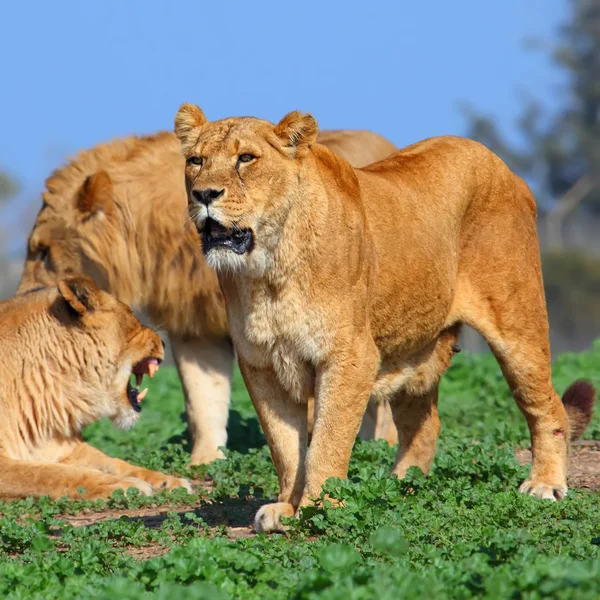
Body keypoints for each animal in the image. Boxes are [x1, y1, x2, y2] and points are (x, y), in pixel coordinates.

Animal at [0, 274, 192, 500]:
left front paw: (168, 481)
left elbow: (116, 463)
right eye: (130, 313)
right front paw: (125, 485)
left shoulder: (67, 449)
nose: (163, 342)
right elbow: (52, 474)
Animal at [173, 104, 596, 536]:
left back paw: (544, 485)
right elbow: (285, 446)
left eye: (246, 158)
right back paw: (399, 490)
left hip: (517, 325)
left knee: (548, 408)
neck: (267, 270)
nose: (204, 194)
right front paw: (287, 507)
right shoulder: (261, 364)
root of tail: (504, 167)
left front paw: (318, 509)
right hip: (415, 350)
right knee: (425, 427)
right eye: (196, 161)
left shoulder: (350, 356)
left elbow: (327, 441)